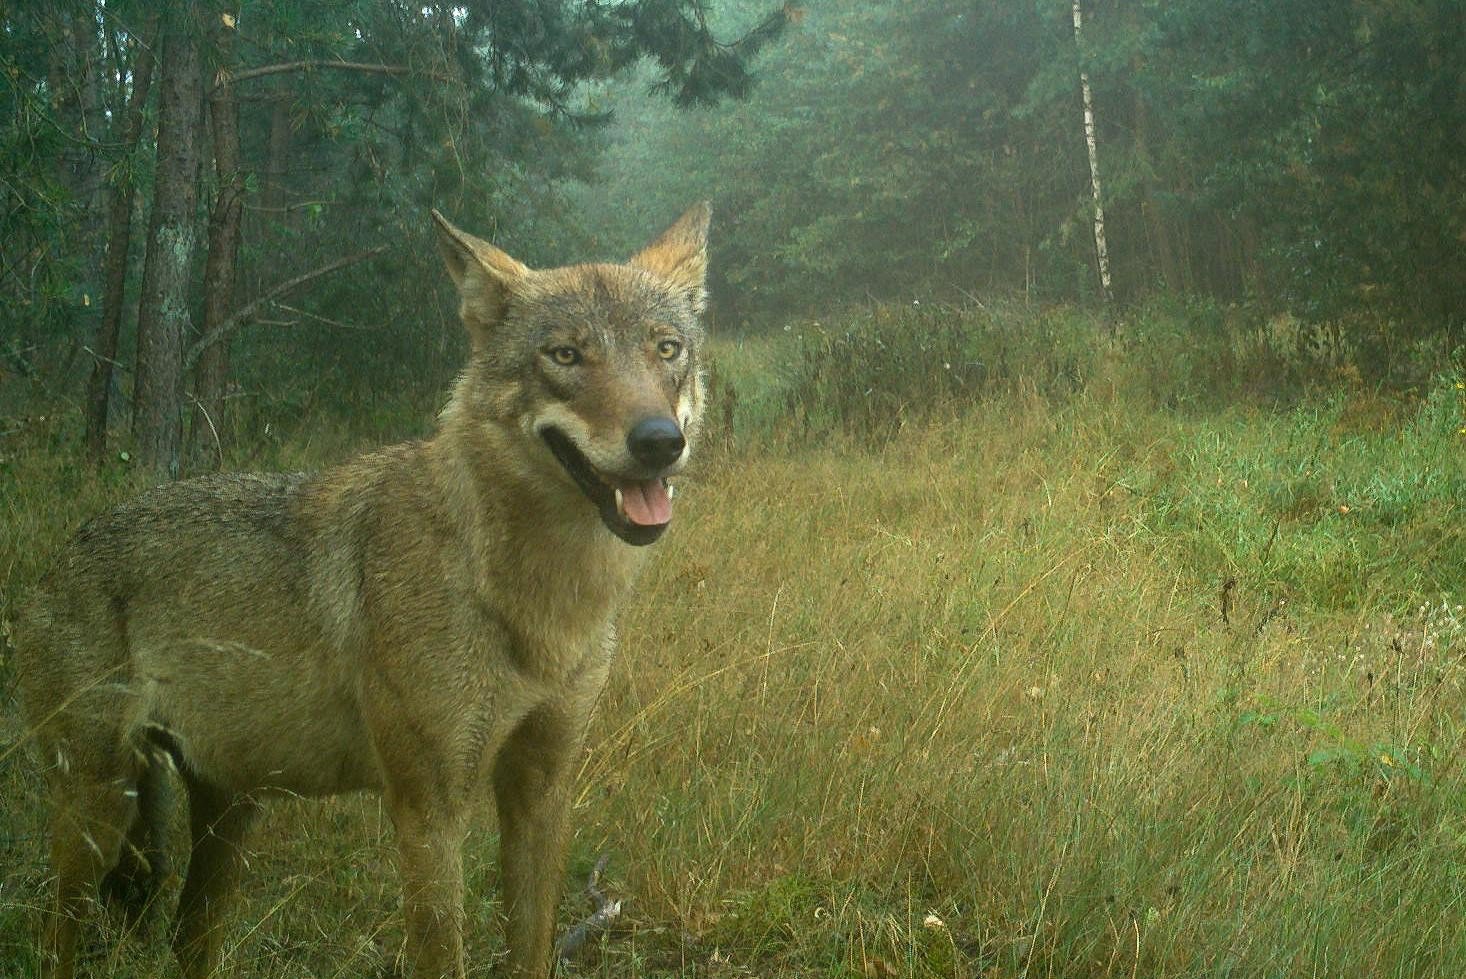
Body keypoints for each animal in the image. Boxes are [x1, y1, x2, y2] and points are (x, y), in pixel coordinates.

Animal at [14, 200, 712, 979]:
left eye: (666, 350)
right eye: (564, 356)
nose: (658, 441)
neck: (532, 602)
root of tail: (61, 554)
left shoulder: (542, 791)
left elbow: (530, 949)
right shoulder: (428, 809)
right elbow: (443, 953)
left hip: (229, 822)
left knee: (185, 939)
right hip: (102, 812)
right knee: (56, 938)